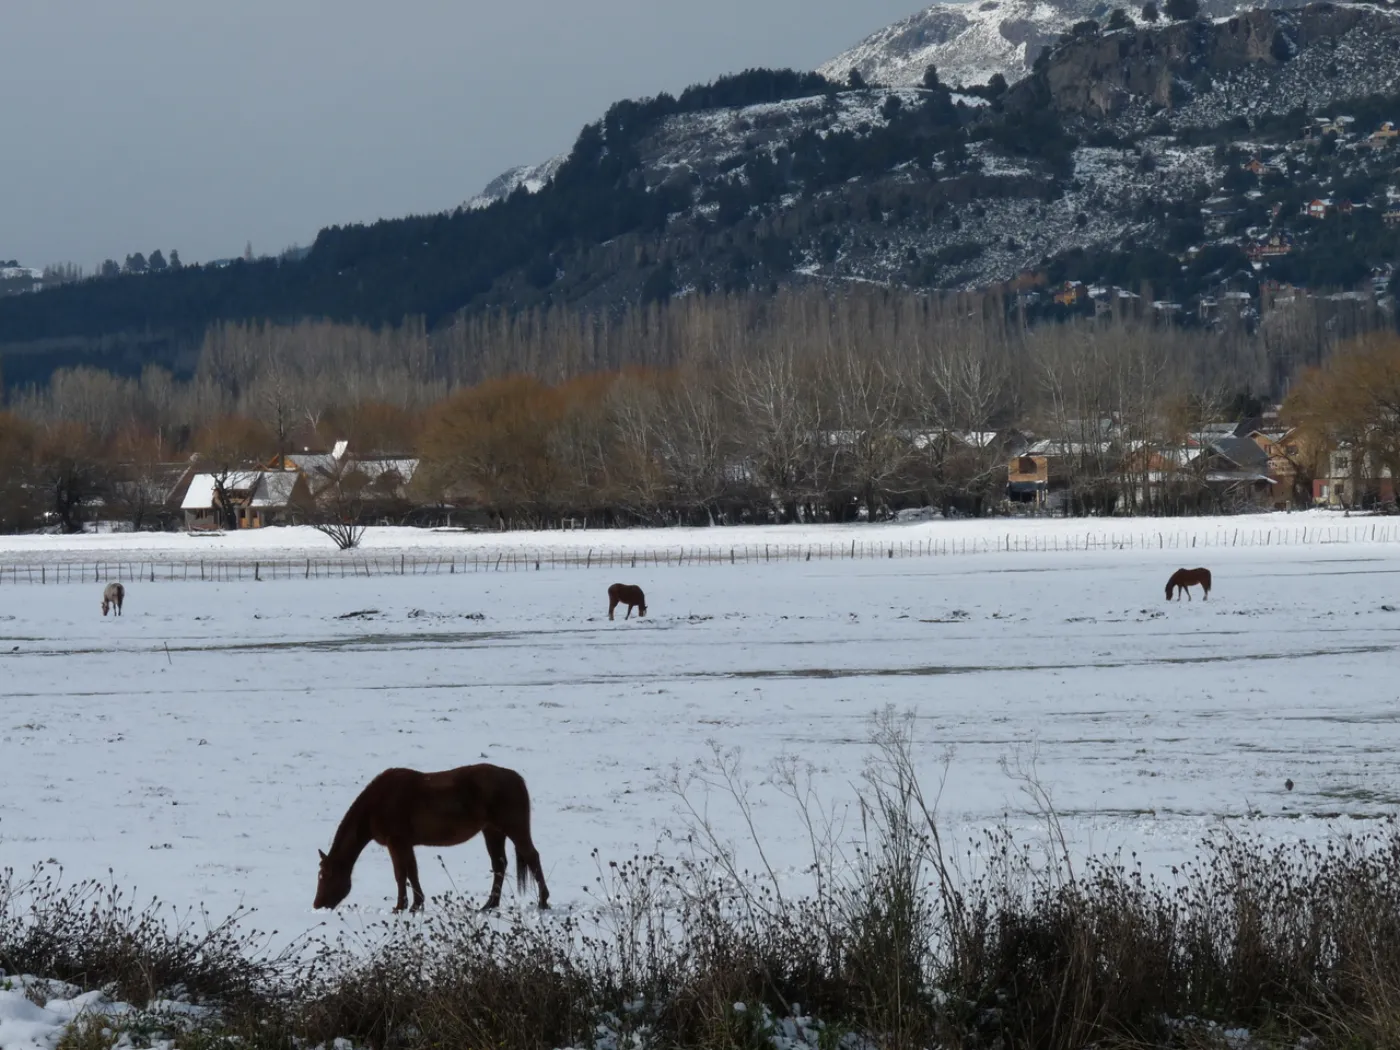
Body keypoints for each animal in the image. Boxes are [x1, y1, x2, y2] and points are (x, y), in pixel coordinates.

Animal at [313, 764, 549, 914]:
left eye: (324, 876)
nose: (317, 904)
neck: (376, 804)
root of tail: (516, 779)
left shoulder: (396, 842)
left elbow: (401, 874)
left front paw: (401, 906)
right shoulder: (405, 844)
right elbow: (412, 872)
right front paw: (416, 904)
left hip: (514, 828)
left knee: (532, 857)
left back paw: (543, 901)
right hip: (492, 831)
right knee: (499, 865)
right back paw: (489, 905)